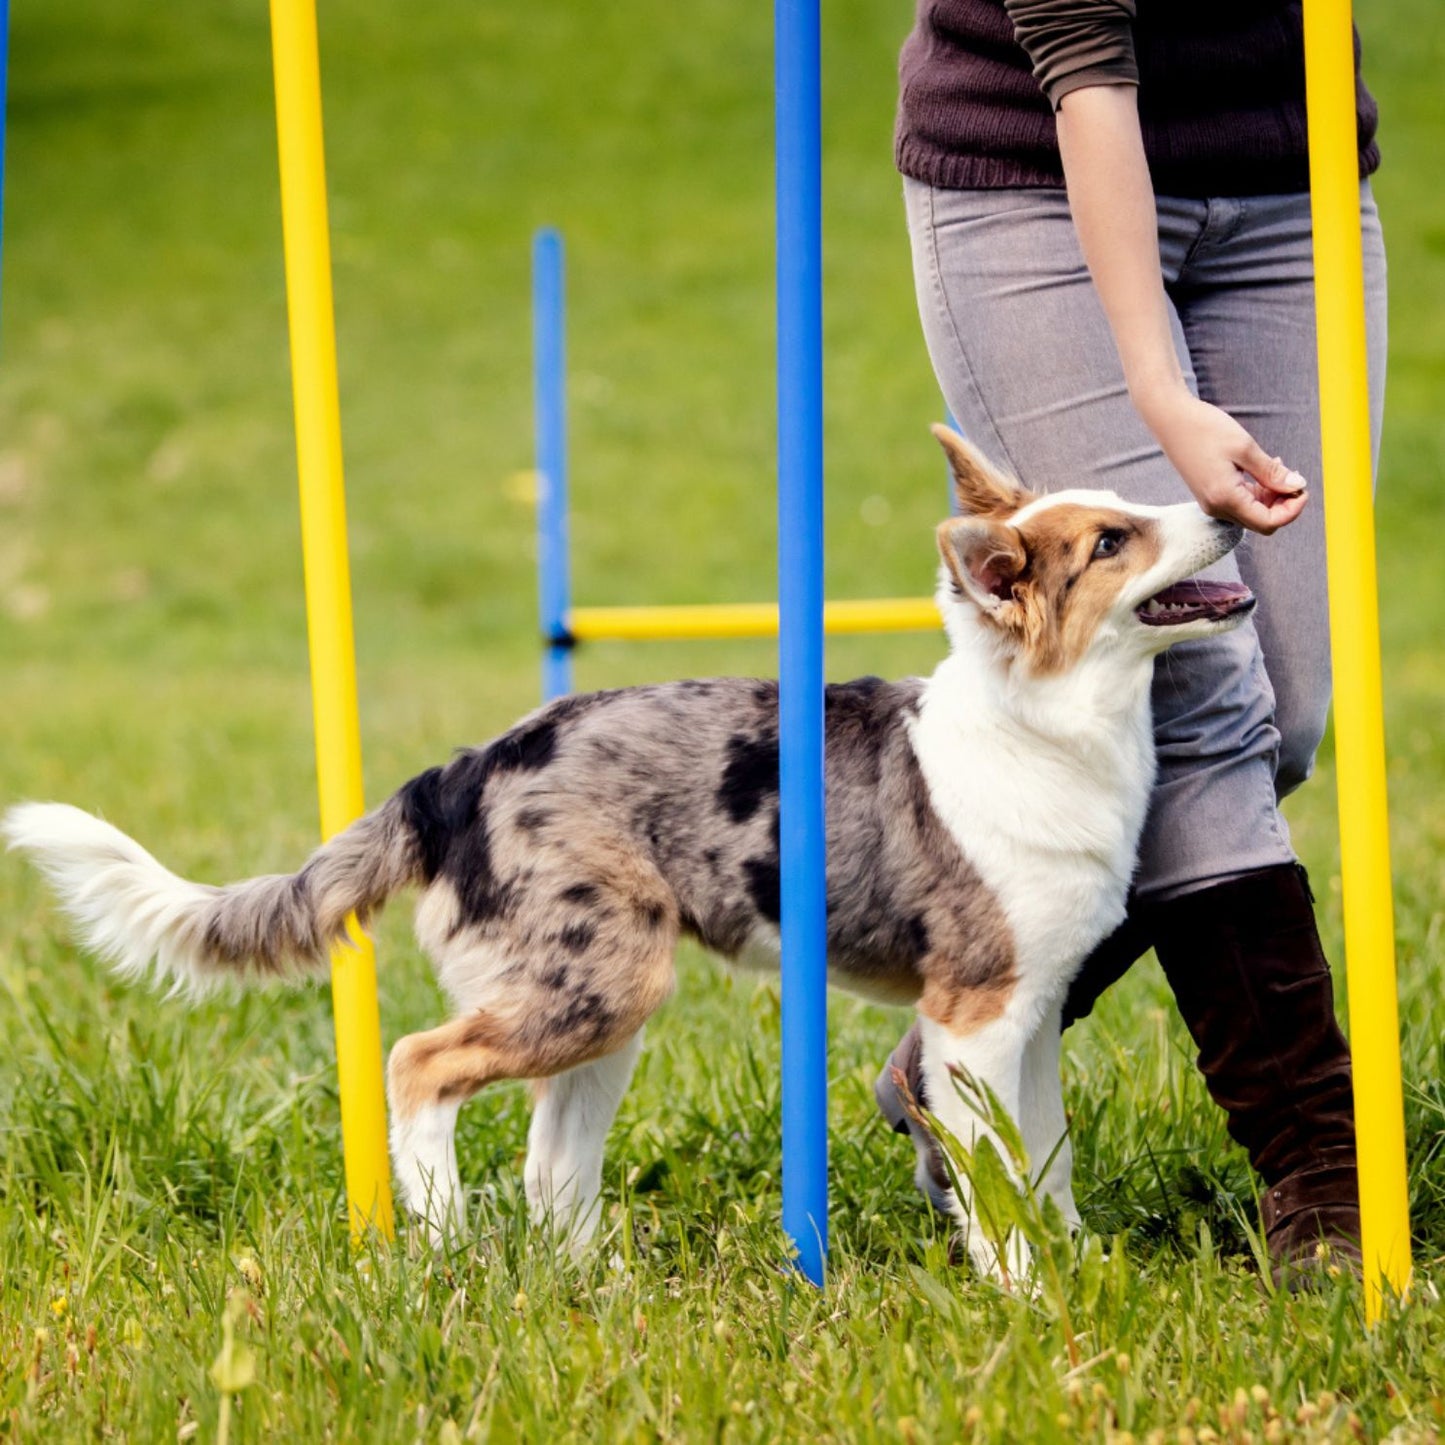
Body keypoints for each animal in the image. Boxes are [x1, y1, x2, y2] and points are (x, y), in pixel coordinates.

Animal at [5, 424, 1254, 1277]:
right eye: (1110, 541)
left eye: (1125, 506)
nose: (1229, 499)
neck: (1044, 729)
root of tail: (460, 770)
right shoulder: (972, 1017)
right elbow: (995, 1182)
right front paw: (1024, 1294)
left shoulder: (1029, 1017)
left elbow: (1043, 1161)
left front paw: (1071, 1270)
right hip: (595, 982)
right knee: (418, 1063)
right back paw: (443, 1239)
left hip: (605, 1000)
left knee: (549, 1160)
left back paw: (580, 1280)